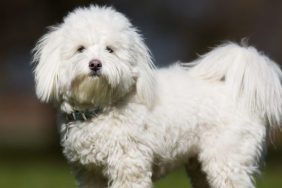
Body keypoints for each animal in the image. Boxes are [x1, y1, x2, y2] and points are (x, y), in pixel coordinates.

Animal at [32, 5, 282, 187]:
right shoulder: (90, 173)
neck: (101, 108)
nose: (95, 64)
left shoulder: (129, 166)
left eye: (110, 49)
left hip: (227, 160)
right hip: (199, 165)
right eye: (80, 49)